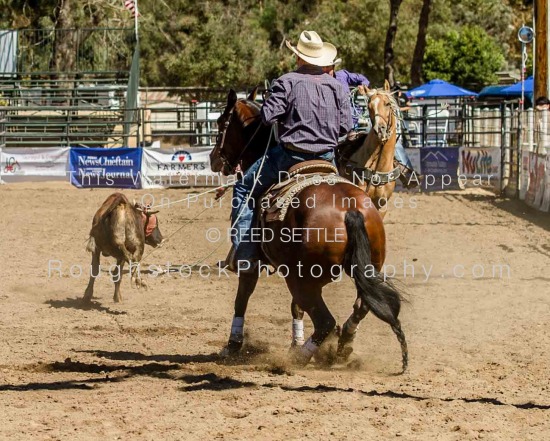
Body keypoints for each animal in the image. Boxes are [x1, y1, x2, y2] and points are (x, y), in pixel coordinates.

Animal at [211, 87, 410, 370]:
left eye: (221, 123)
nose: (214, 159)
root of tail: (350, 209)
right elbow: (296, 308)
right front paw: (295, 341)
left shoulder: (252, 262)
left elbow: (243, 296)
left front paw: (233, 345)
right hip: (361, 268)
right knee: (360, 306)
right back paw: (341, 345)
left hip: (301, 278)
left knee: (325, 320)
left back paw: (300, 357)